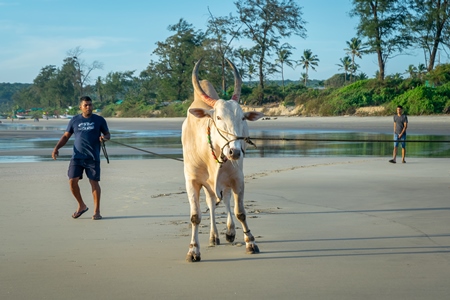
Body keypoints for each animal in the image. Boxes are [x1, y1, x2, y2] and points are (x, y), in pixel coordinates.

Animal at [180, 57, 262, 262]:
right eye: (218, 117)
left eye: (243, 118)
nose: (235, 152)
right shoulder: (192, 181)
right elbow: (195, 216)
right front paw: (193, 250)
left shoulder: (237, 178)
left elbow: (240, 212)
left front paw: (250, 242)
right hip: (208, 185)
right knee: (211, 203)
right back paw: (214, 236)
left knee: (225, 200)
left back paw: (230, 232)